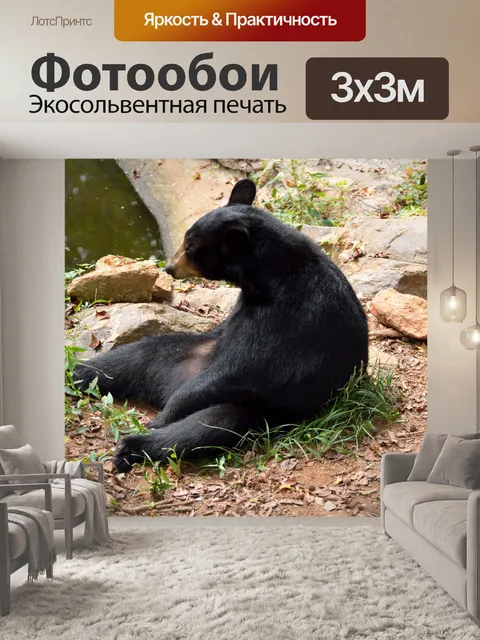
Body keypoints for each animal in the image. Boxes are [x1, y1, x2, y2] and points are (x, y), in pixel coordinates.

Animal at [74, 178, 369, 473]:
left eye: (190, 247)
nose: (169, 268)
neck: (265, 280)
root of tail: (166, 386)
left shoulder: (293, 317)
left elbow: (249, 366)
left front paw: (164, 416)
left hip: (259, 406)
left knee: (208, 425)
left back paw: (135, 443)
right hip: (177, 355)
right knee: (135, 357)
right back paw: (80, 373)